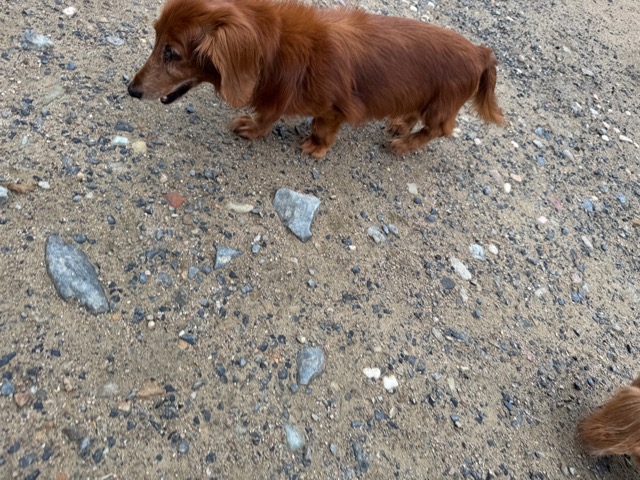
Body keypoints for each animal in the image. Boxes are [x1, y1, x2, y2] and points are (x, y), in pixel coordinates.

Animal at [128, 0, 504, 157]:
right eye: (156, 38)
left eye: (172, 53)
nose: (131, 90)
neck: (276, 49)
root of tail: (479, 52)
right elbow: (269, 113)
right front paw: (255, 126)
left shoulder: (335, 108)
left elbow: (320, 126)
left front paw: (314, 146)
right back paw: (399, 124)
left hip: (440, 105)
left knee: (439, 129)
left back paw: (404, 144)